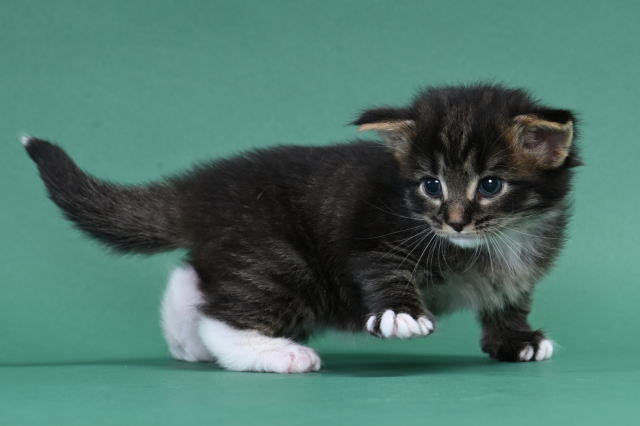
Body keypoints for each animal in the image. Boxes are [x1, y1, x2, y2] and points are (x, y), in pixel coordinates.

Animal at [23, 84, 580, 373]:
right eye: (430, 185)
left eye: (490, 184)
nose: (455, 219)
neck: (496, 241)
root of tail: (208, 187)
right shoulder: (377, 233)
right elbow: (383, 269)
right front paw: (401, 312)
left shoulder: (519, 268)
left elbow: (509, 300)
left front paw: (517, 340)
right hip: (280, 259)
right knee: (221, 315)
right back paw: (276, 353)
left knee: (193, 281)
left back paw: (186, 341)